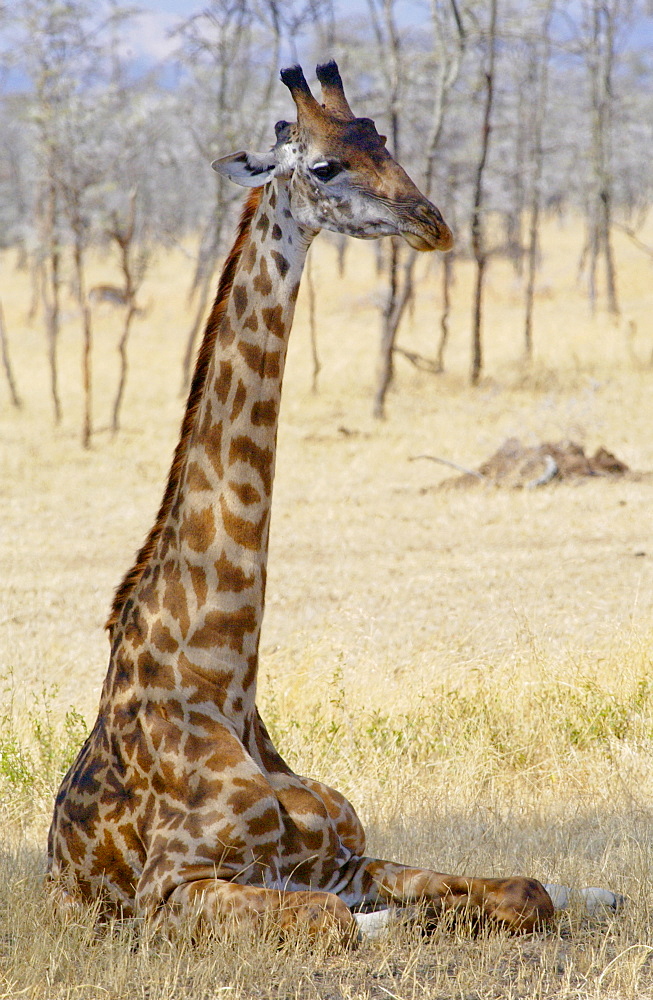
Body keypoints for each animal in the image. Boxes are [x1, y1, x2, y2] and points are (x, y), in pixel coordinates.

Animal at [48, 60, 552, 944]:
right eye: (323, 166)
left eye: (383, 140)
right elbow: (333, 921)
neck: (221, 677)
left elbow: (527, 890)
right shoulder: (168, 890)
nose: (431, 222)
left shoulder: (343, 856)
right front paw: (392, 924)